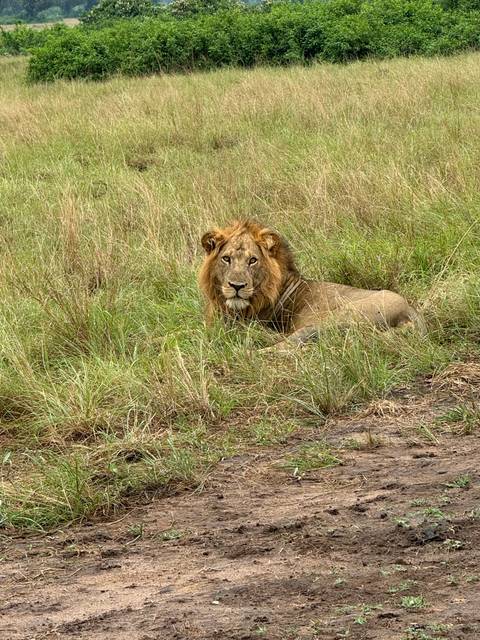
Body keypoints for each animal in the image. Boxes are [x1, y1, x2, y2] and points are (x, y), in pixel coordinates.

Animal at [199, 220, 424, 348]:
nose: (236, 286)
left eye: (252, 260)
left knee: (288, 344)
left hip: (339, 317)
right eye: (226, 259)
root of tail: (412, 313)